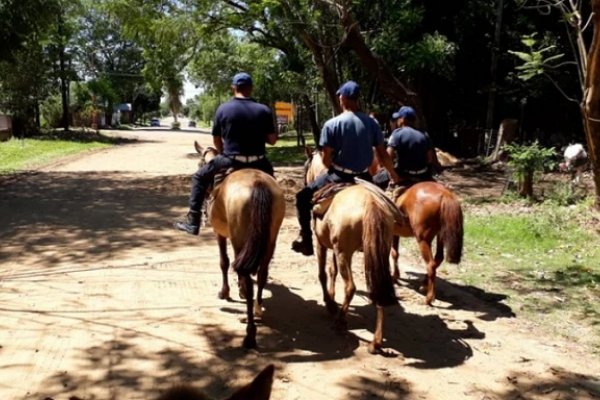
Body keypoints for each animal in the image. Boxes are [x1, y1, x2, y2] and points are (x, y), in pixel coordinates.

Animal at [193, 142, 284, 348]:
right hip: (270, 238)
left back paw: (250, 333)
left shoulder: (219, 233)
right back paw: (257, 311)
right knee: (262, 273)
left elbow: (224, 262)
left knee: (246, 275)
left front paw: (226, 292)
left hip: (239, 237)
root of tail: (258, 183)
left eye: (200, 163)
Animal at [308, 149, 400, 354]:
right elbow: (332, 270)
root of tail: (371, 203)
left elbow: (322, 273)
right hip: (377, 253)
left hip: (345, 253)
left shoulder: (321, 243)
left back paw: (340, 321)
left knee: (350, 287)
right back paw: (376, 342)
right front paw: (332, 297)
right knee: (378, 288)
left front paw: (329, 302)